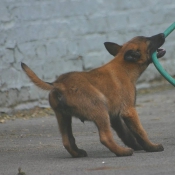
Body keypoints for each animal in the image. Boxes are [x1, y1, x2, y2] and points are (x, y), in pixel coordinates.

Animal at [21, 32, 166, 157]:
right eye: (148, 40)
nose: (162, 34)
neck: (124, 66)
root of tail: (60, 84)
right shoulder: (129, 111)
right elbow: (140, 132)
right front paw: (151, 147)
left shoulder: (114, 116)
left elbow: (126, 134)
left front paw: (137, 146)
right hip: (100, 110)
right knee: (105, 138)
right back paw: (122, 152)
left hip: (63, 117)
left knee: (67, 140)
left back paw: (78, 153)